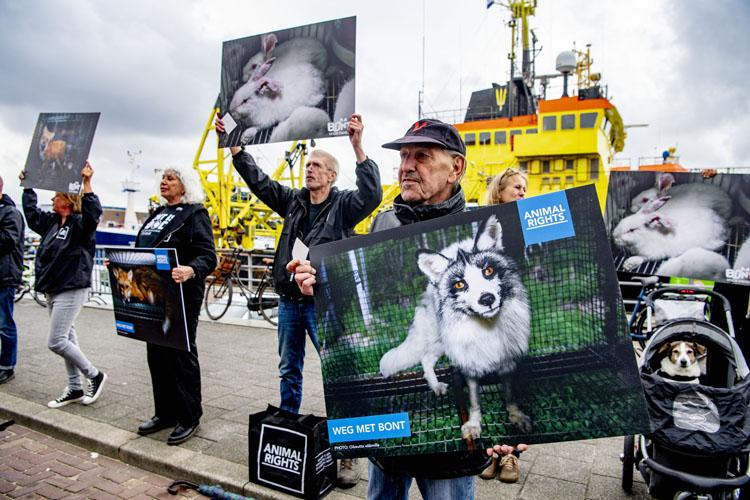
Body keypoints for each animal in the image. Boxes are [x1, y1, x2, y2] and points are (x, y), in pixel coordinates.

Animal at [382, 215, 536, 438]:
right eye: (460, 284)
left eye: (488, 271)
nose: (487, 299)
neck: (487, 329)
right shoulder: (468, 364)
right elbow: (473, 401)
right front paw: (474, 424)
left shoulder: (508, 360)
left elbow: (509, 395)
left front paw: (516, 416)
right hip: (441, 341)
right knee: (425, 360)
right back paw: (436, 386)